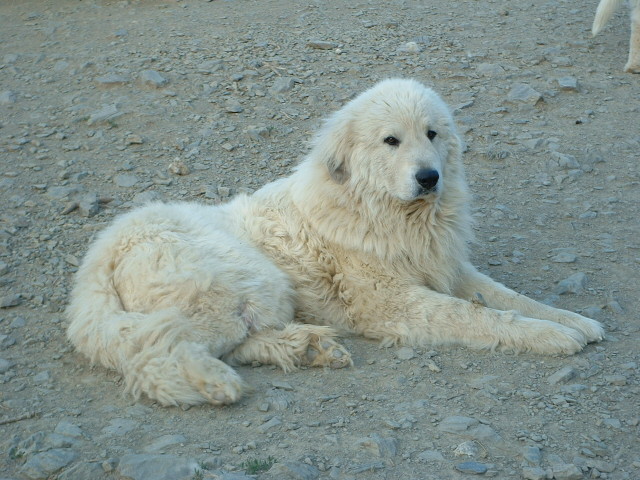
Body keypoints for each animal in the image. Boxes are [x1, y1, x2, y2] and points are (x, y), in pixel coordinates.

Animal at [69, 79, 604, 404]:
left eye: (432, 134)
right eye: (391, 140)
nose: (429, 177)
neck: (382, 211)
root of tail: (101, 254)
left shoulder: (448, 268)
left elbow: (508, 298)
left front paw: (573, 319)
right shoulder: (395, 302)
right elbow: (477, 316)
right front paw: (552, 336)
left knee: (221, 343)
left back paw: (307, 348)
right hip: (246, 283)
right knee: (154, 349)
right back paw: (219, 383)